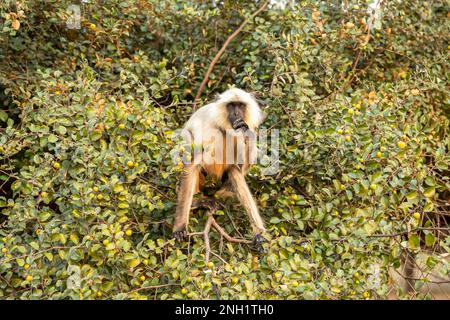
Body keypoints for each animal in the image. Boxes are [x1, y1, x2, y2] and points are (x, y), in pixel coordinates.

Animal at [173, 88, 268, 250]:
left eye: (240, 105)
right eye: (231, 105)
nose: (236, 114)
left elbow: (241, 167)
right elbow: (192, 165)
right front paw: (179, 227)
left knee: (234, 170)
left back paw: (257, 233)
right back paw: (198, 201)